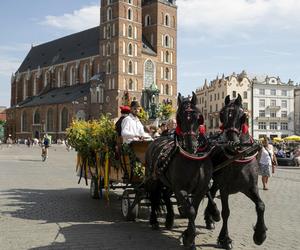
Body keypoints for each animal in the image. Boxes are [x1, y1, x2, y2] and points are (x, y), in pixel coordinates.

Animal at [145, 93, 213, 249]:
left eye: (199, 118)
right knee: (153, 196)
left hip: (167, 183)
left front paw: (189, 237)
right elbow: (191, 211)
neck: (193, 159)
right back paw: (154, 221)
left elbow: (193, 211)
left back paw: (169, 219)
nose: (191, 145)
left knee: (164, 195)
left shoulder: (201, 190)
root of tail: (157, 139)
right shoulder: (180, 189)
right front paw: (189, 239)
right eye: (179, 118)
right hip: (153, 179)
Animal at [204, 94, 268, 249]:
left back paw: (210, 218)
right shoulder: (225, 189)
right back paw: (214, 213)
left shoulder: (250, 187)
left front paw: (260, 234)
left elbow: (261, 206)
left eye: (242, 115)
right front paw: (225, 239)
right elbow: (226, 212)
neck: (238, 157)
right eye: (221, 114)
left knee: (211, 192)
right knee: (208, 193)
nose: (232, 142)